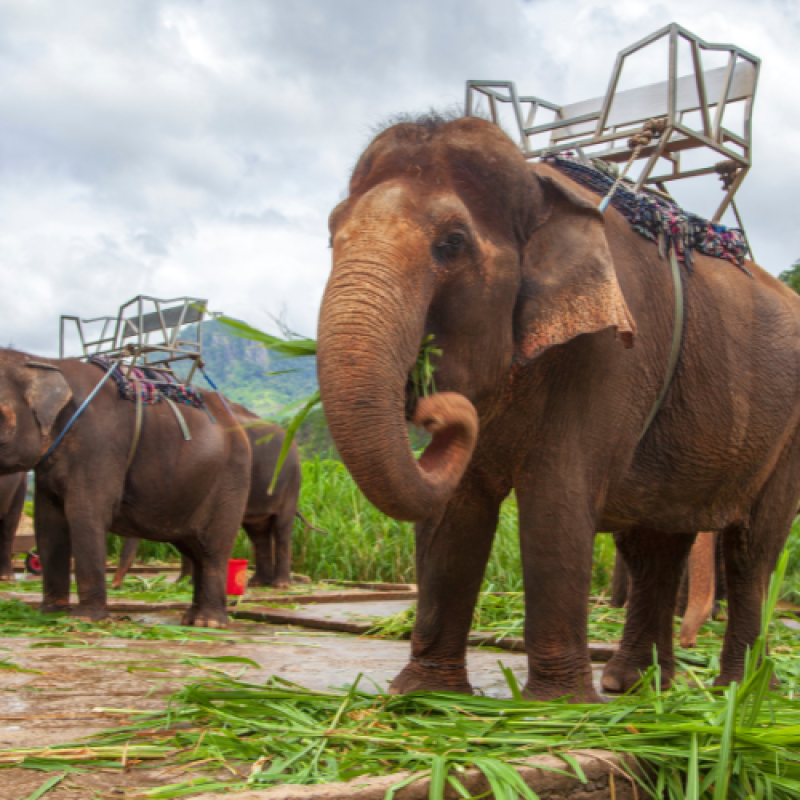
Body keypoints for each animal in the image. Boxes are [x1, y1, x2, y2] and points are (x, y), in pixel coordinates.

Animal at [0, 350, 251, 626]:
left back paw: (210, 623)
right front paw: (50, 614)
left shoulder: (98, 443)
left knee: (213, 549)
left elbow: (85, 514)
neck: (46, 363)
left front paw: (86, 620)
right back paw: (191, 620)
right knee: (193, 547)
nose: (117, 586)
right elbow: (48, 523)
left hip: (231, 476)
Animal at [111, 408, 313, 590]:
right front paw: (184, 583)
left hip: (291, 482)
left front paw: (189, 583)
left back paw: (280, 585)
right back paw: (258, 583)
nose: (115, 586)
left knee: (281, 527)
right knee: (258, 532)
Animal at [316, 113, 800, 702]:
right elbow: (456, 508)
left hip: (788, 436)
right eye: (331, 235)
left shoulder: (612, 352)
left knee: (753, 548)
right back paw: (638, 687)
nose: (433, 406)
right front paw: (425, 698)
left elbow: (556, 498)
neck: (541, 189)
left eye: (452, 243)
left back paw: (740, 695)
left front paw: (555, 707)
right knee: (654, 544)